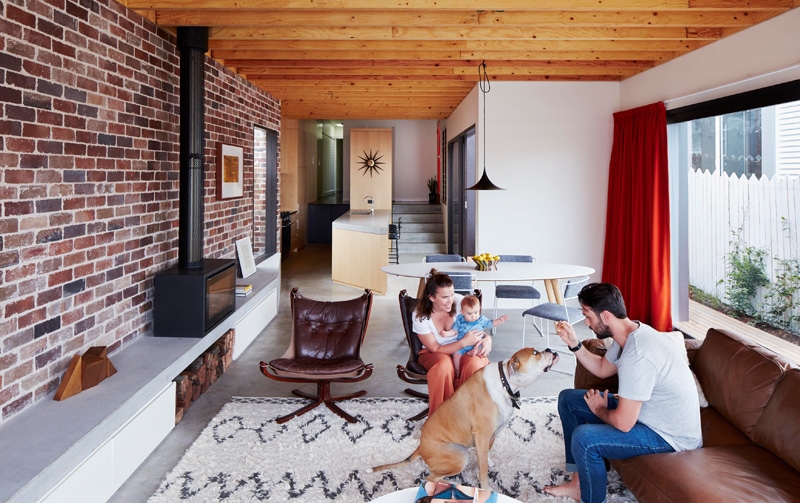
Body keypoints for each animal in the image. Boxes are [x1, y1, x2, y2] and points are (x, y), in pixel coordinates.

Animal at [368, 346, 556, 488]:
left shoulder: (491, 435)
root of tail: (420, 447)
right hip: (460, 456)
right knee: (430, 478)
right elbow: (483, 471)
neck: (506, 383)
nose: (549, 349)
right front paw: (485, 488)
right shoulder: (482, 436)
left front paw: (489, 461)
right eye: (535, 353)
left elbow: (486, 454)